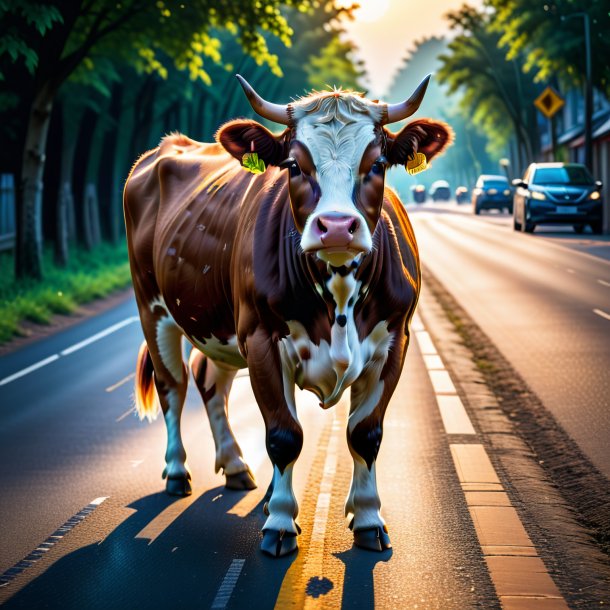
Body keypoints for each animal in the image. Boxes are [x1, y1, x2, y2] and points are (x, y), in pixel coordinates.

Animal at [122, 73, 452, 552]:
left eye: (376, 164)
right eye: (295, 165)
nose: (337, 227)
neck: (337, 294)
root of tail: (167, 148)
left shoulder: (396, 341)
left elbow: (365, 434)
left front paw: (368, 517)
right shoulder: (261, 339)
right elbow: (283, 435)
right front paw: (279, 520)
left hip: (221, 326)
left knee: (209, 381)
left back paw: (235, 465)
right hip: (154, 308)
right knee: (173, 386)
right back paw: (177, 471)